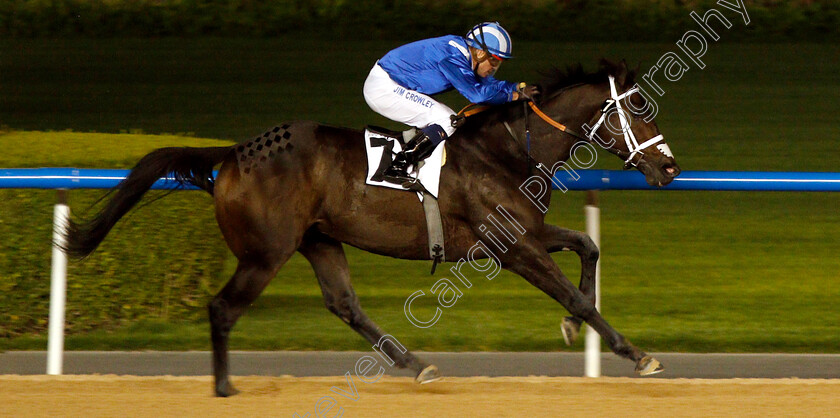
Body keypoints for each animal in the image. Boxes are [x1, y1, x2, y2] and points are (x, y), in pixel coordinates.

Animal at [65, 58, 684, 396]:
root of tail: (235, 154)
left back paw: (416, 364)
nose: (671, 167)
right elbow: (575, 292)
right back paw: (223, 386)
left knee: (344, 304)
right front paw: (635, 353)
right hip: (266, 252)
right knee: (222, 308)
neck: (509, 149)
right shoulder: (508, 247)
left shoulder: (524, 233)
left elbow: (587, 246)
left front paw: (572, 329)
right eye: (640, 110)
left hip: (319, 240)